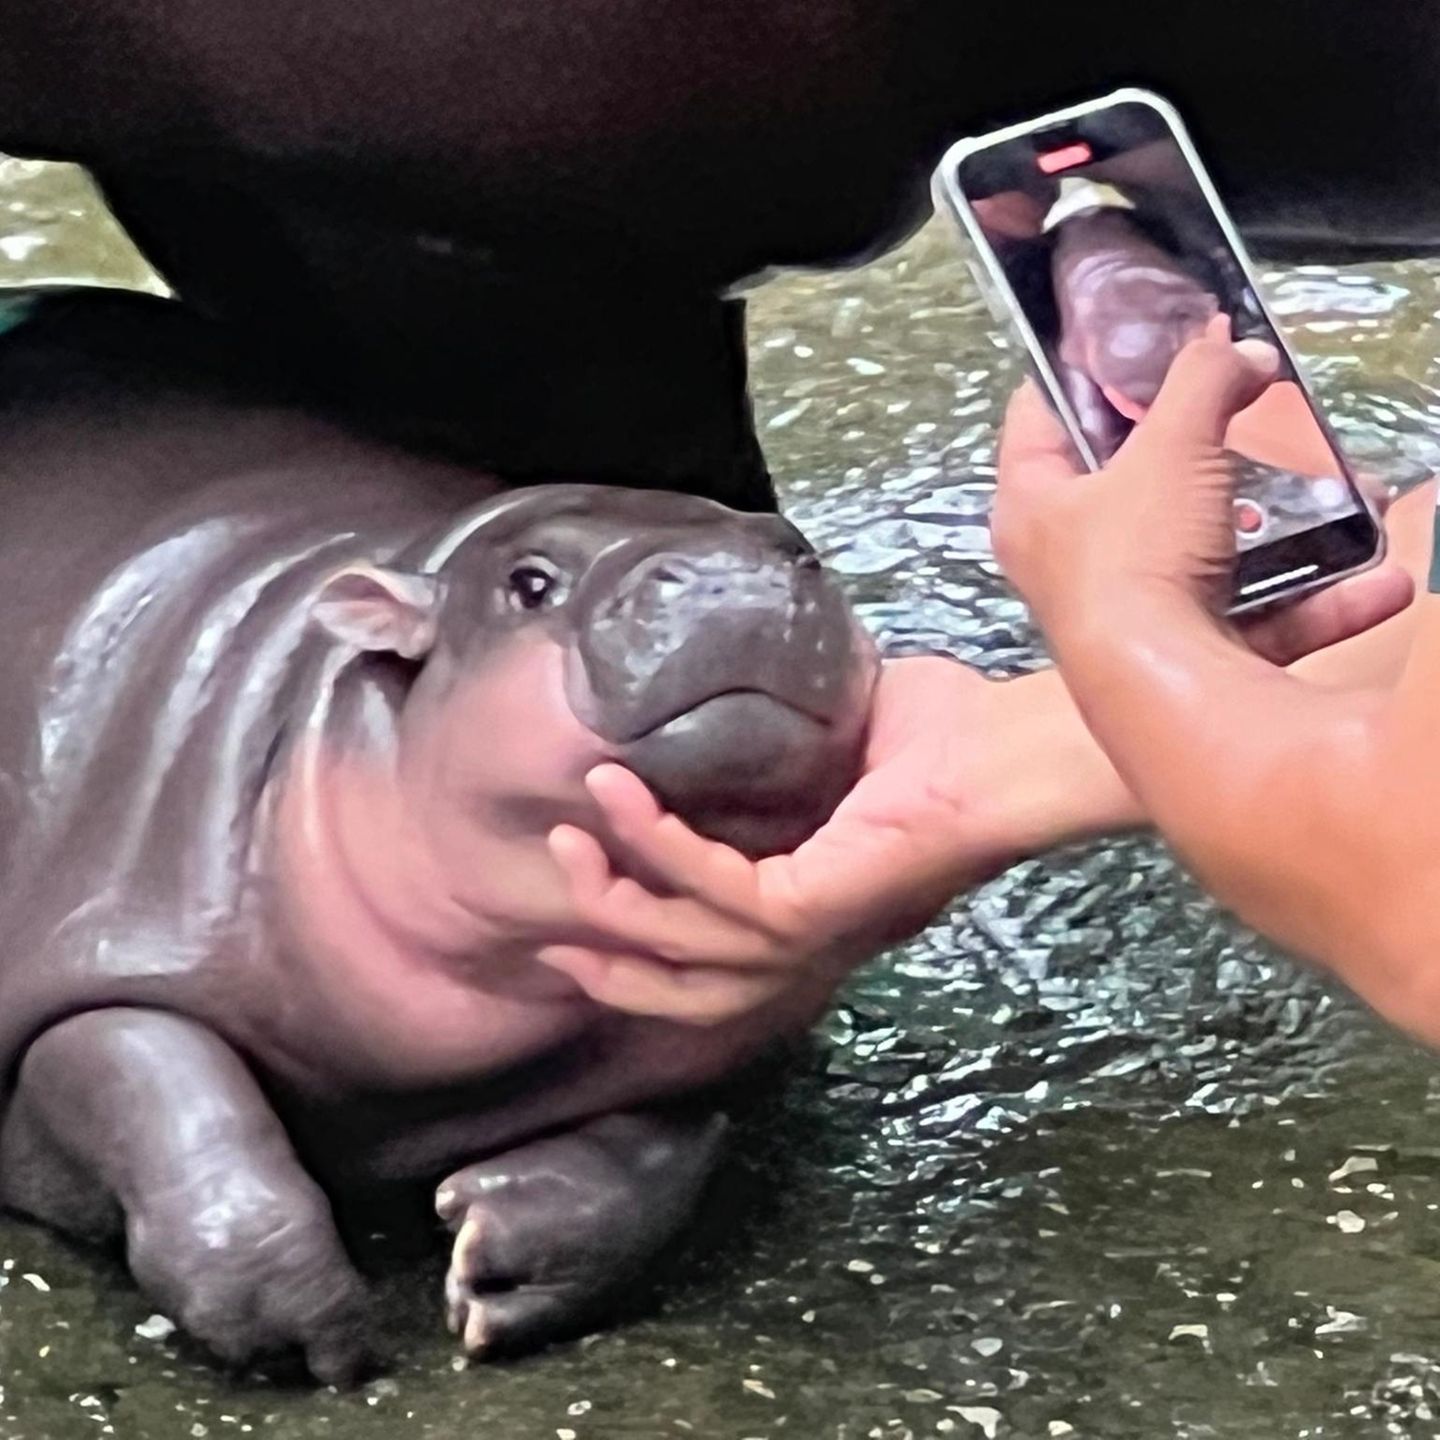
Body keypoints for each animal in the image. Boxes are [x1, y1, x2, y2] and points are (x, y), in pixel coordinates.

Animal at [0, 292, 877, 1381]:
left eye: (797, 546)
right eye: (531, 583)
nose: (732, 579)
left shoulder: (714, 1036)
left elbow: (664, 1146)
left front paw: (495, 1261)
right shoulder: (116, 927)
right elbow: (158, 1085)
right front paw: (315, 1345)